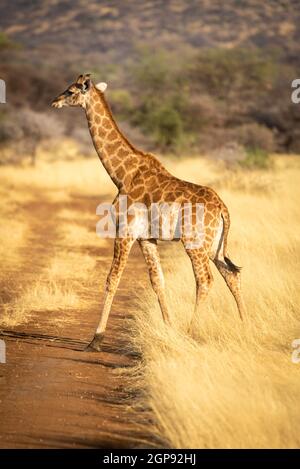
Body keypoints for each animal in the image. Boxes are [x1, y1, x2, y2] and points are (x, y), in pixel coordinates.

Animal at [51, 73, 244, 350]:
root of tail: (222, 209)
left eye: (70, 90)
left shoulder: (125, 232)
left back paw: (192, 332)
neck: (122, 174)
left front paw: (96, 339)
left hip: (195, 243)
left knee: (205, 280)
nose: (54, 101)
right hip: (215, 246)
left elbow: (112, 279)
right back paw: (245, 328)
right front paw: (169, 328)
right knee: (232, 275)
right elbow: (157, 281)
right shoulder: (147, 238)